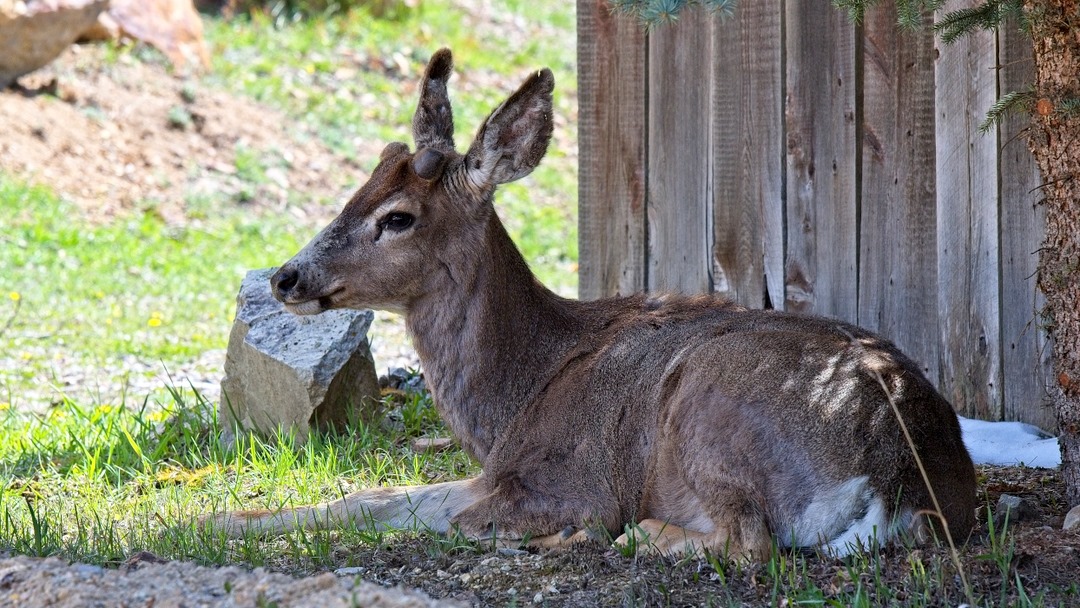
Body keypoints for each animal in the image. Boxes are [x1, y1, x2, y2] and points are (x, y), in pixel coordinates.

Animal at [200, 48, 980, 561]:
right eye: (355, 189)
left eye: (397, 217)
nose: (286, 278)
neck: (516, 393)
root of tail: (902, 481)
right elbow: (367, 500)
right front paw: (219, 523)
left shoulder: (566, 480)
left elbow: (432, 519)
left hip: (703, 406)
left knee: (747, 543)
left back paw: (633, 535)